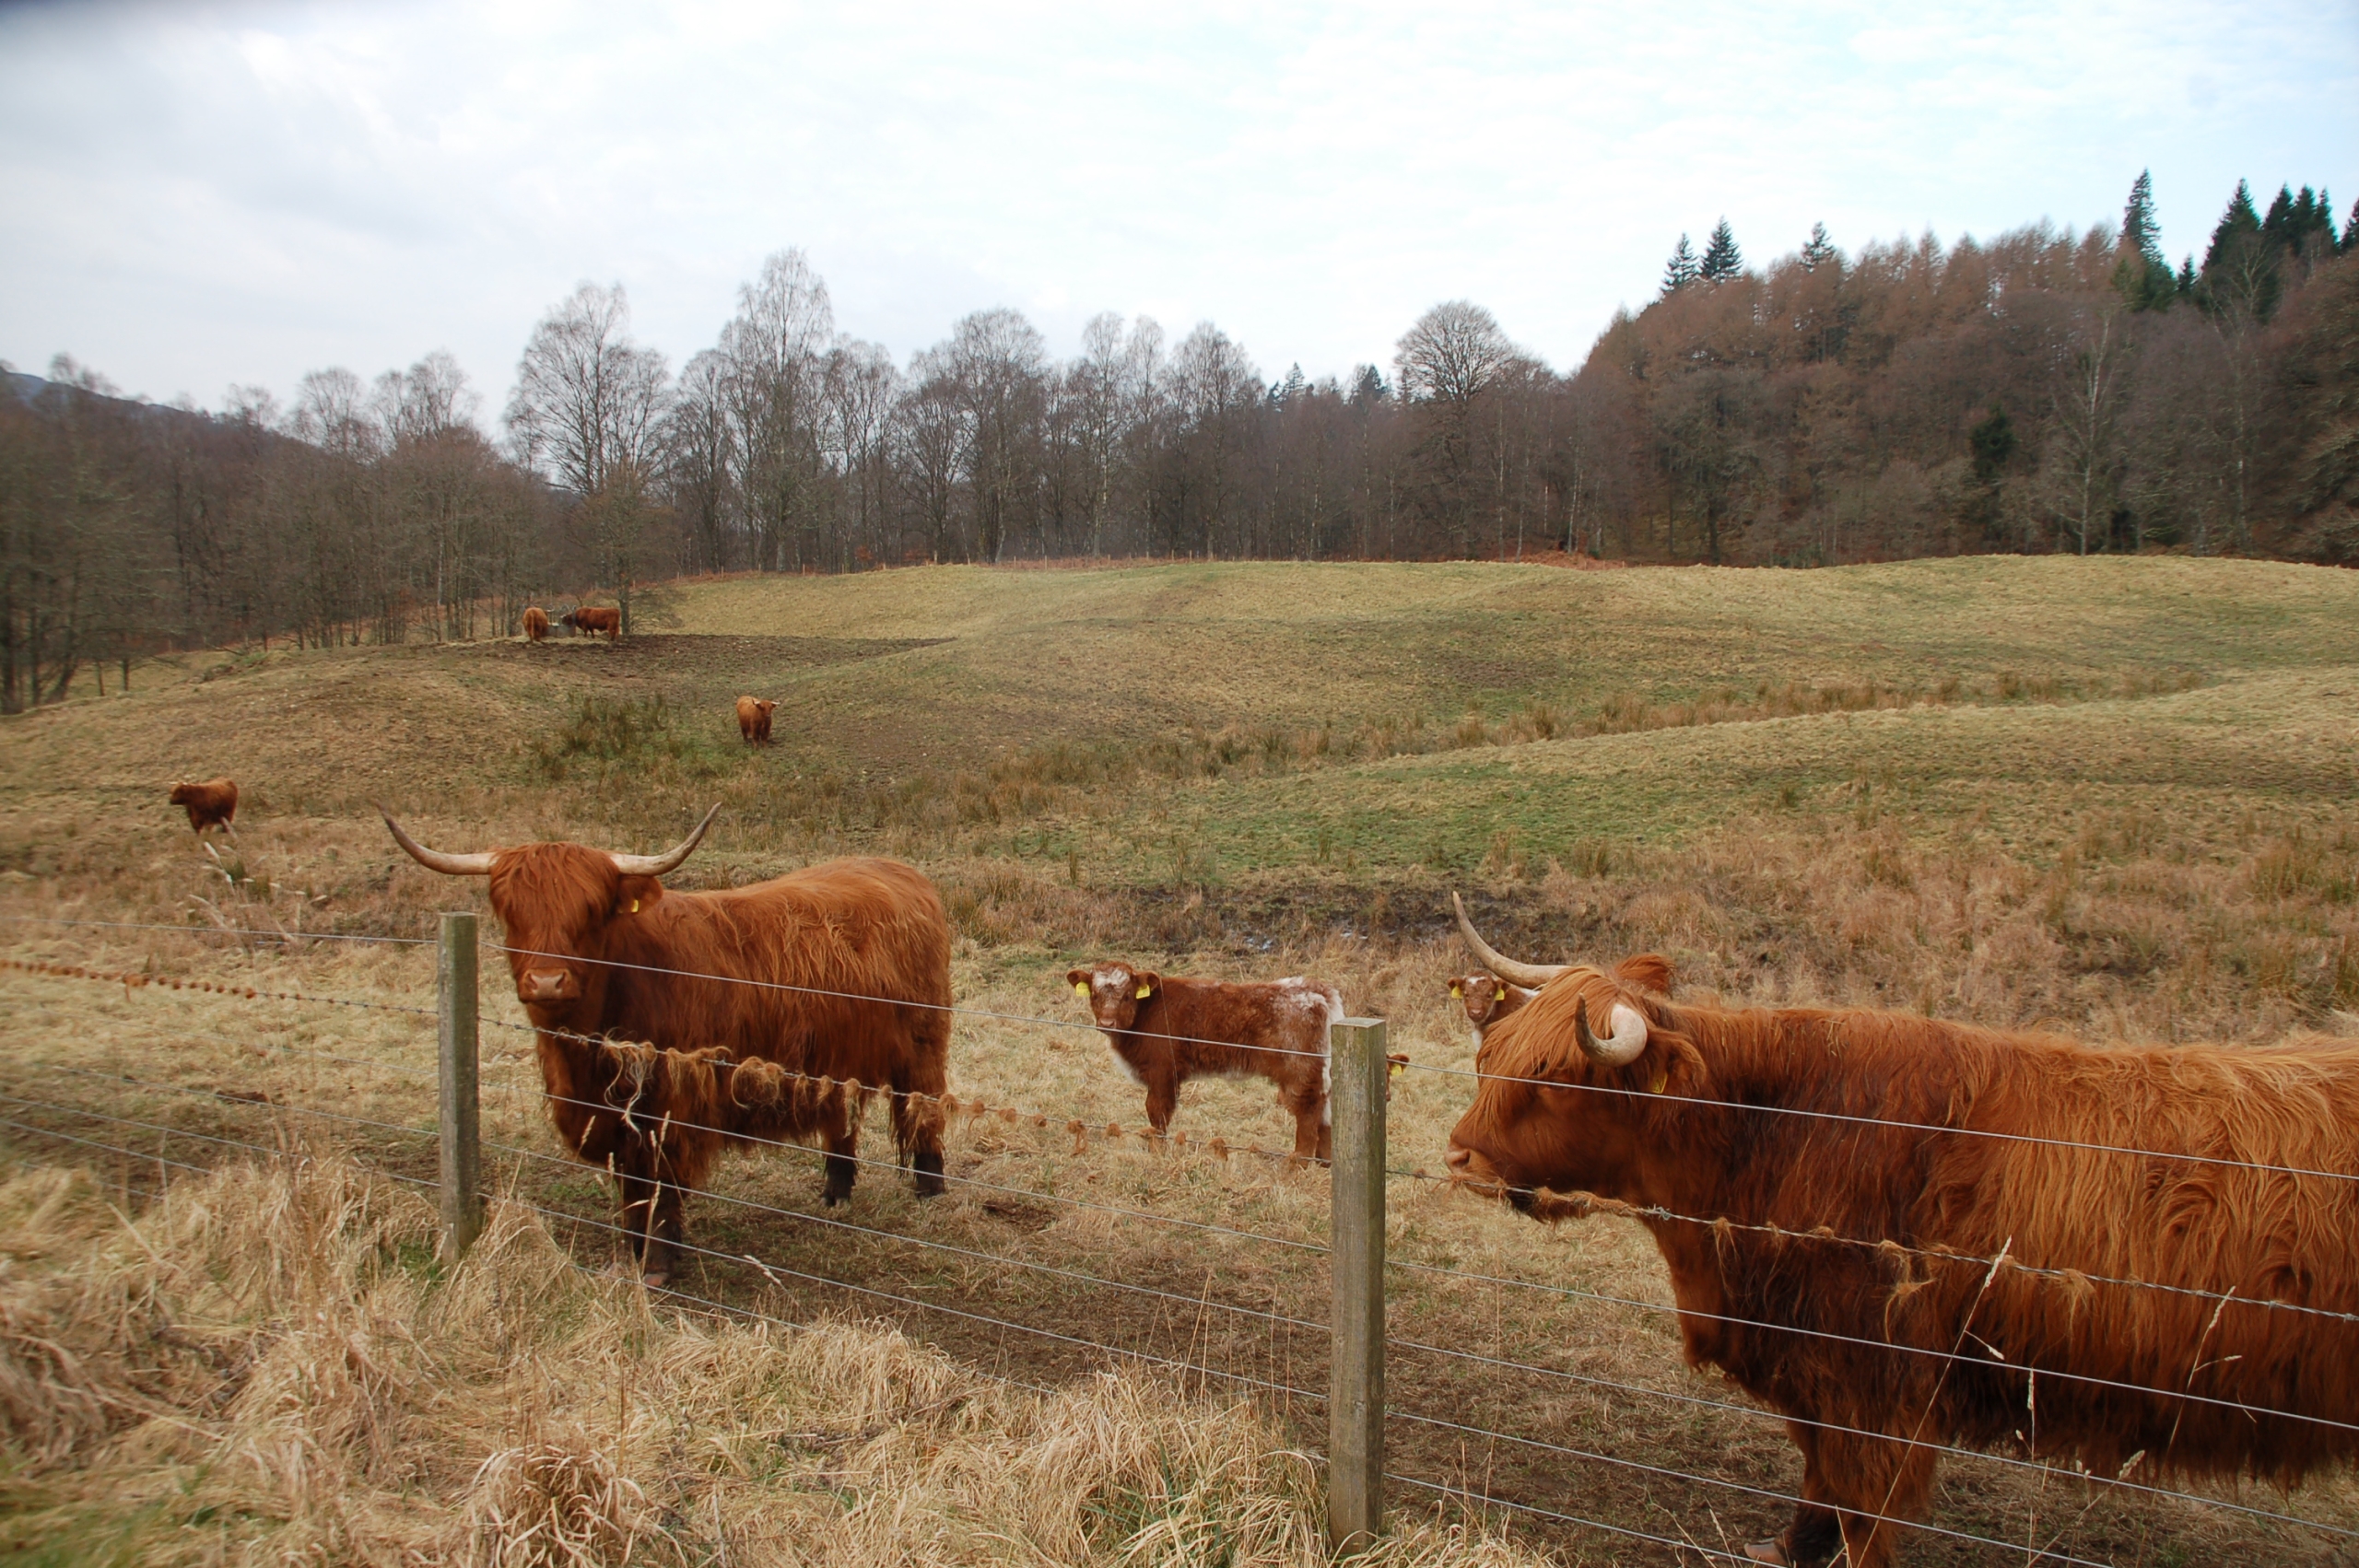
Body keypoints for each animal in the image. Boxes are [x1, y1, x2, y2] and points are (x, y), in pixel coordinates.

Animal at [377, 802, 948, 1282]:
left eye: (591, 911)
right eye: (510, 910)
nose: (546, 982)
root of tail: (898, 870)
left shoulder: (673, 1105)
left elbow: (661, 1184)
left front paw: (659, 1263)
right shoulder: (613, 1117)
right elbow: (631, 1187)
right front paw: (632, 1250)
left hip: (923, 1043)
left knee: (925, 1108)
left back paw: (930, 1188)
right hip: (836, 1059)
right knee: (841, 1117)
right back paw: (835, 1191)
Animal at [1071, 952, 1349, 1160]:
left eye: (1127, 995)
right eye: (1094, 994)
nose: (1107, 1023)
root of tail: (1314, 988)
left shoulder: (1163, 1070)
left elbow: (1156, 1111)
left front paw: (1157, 1153)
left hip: (1299, 1073)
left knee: (1308, 1112)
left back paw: (1295, 1167)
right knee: (1325, 1110)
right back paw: (1324, 1163)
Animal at [1434, 891, 2359, 1565]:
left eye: (1556, 1079)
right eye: (1494, 1055)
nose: (1459, 1157)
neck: (1765, 1136)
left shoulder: (1877, 1382)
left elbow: (1862, 1504)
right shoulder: (1811, 1364)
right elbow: (1820, 1483)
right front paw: (1786, 1548)